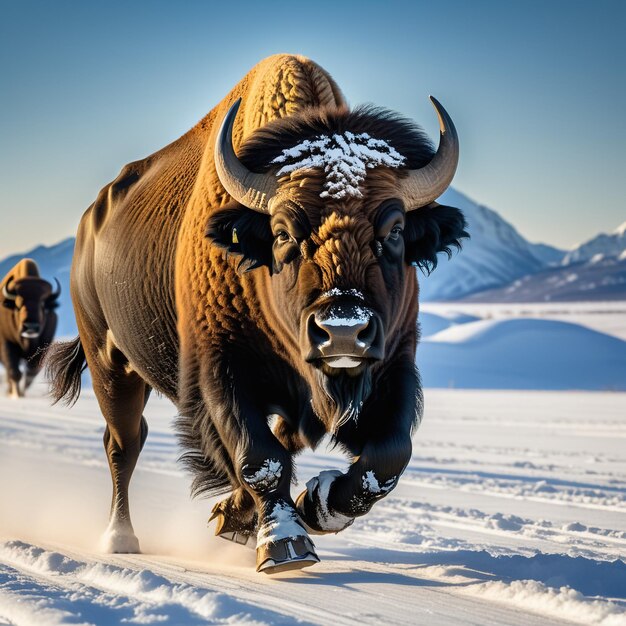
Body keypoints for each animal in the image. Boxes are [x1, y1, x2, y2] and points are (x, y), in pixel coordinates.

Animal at [0, 258, 60, 394]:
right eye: (18, 304)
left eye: (43, 304)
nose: (30, 326)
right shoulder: (7, 344)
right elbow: (15, 372)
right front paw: (17, 394)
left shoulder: (42, 348)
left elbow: (30, 373)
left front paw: (21, 392)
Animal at [46, 53, 466, 572]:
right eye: (283, 232)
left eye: (395, 230)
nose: (343, 332)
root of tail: (91, 221)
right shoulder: (220, 371)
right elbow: (258, 458)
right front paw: (284, 545)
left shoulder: (391, 367)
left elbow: (386, 458)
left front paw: (315, 505)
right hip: (111, 362)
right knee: (124, 443)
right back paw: (120, 539)